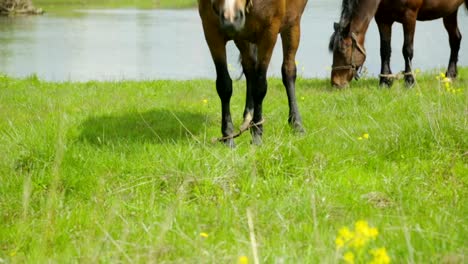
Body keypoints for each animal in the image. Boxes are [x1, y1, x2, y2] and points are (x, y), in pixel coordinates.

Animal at [197, 0, 308, 146]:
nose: (231, 19)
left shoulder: (269, 32)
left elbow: (260, 87)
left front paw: (257, 134)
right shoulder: (211, 30)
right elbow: (224, 85)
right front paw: (228, 136)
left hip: (293, 24)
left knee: (288, 71)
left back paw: (296, 124)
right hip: (242, 38)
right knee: (249, 68)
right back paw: (248, 117)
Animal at [330, 0, 468, 87]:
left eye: (343, 51)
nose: (336, 83)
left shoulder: (409, 16)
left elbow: (407, 50)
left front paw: (409, 81)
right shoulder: (383, 19)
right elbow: (385, 50)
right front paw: (385, 80)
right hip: (450, 10)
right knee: (455, 39)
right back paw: (450, 75)